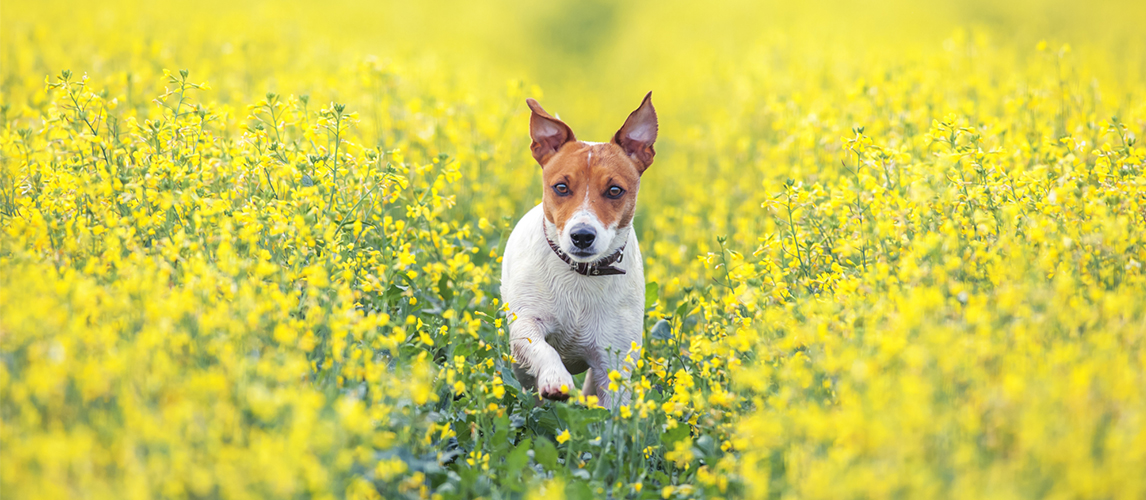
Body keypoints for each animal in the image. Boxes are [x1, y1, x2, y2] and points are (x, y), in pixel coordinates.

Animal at [499, 91, 660, 408]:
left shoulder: (614, 361)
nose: (582, 236)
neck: (581, 276)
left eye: (614, 190)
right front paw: (555, 378)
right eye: (561, 187)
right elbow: (541, 348)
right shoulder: (526, 324)